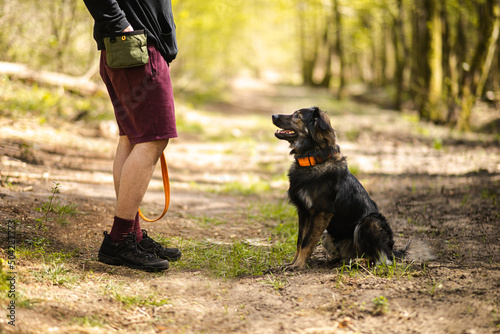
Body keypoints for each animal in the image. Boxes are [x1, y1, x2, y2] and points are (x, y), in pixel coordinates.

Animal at [274, 108, 430, 270]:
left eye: (297, 116)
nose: (274, 116)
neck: (313, 159)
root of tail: (391, 250)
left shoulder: (322, 212)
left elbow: (307, 241)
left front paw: (298, 265)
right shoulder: (303, 211)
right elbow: (300, 241)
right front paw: (294, 262)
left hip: (368, 222)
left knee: (379, 259)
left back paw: (358, 262)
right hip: (327, 235)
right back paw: (343, 261)